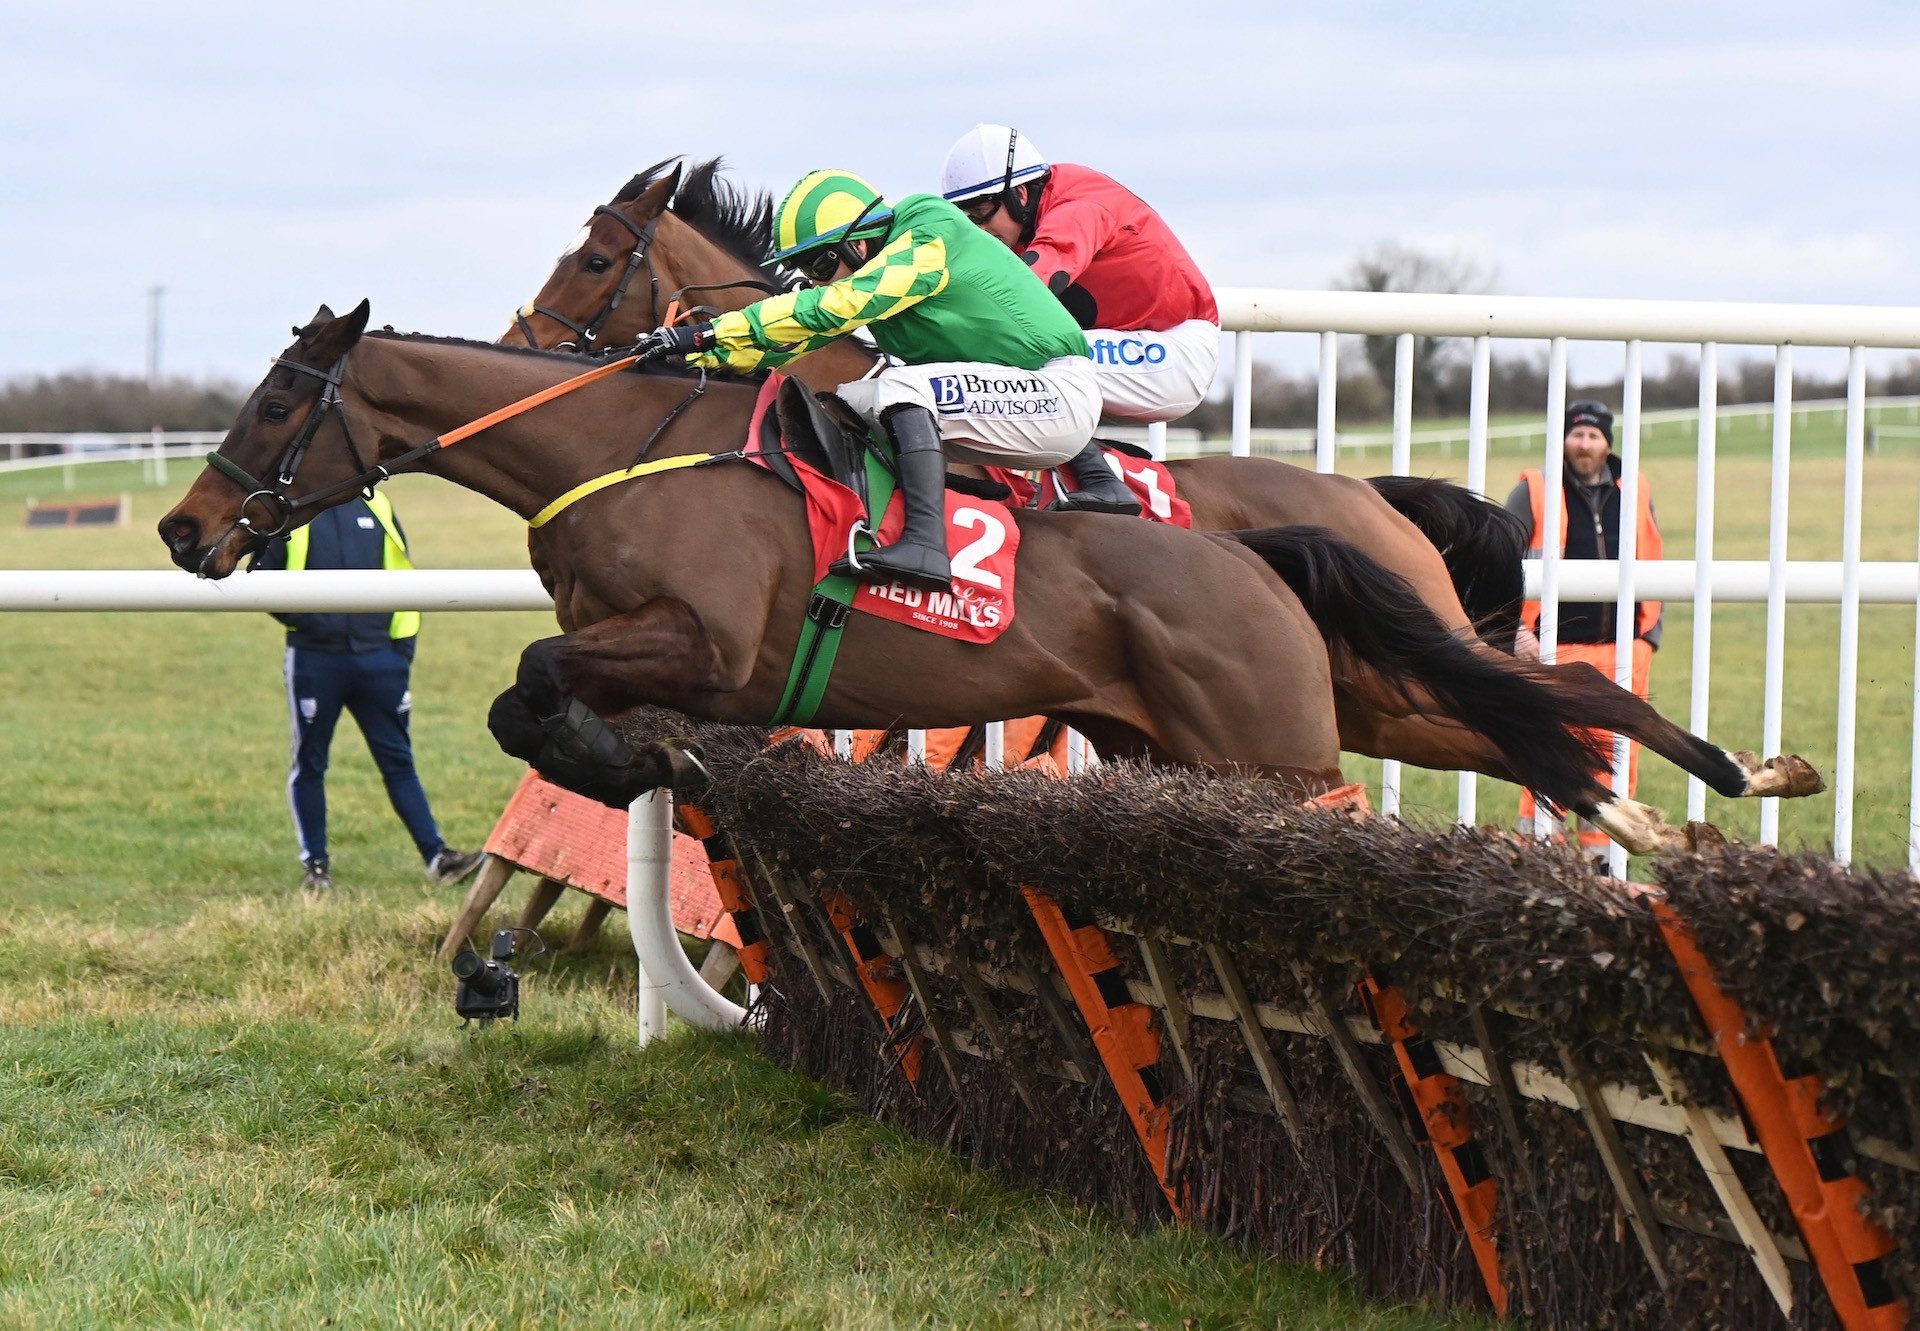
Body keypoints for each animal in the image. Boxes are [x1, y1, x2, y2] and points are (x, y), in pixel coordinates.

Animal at [157, 303, 1789, 852]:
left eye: (273, 398)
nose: (183, 530)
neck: (631, 444)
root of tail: (1255, 541)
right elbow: (525, 703)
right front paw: (635, 768)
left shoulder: (704, 641)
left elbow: (531, 685)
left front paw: (628, 765)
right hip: (1266, 721)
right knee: (1539, 700)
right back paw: (1669, 803)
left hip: (1289, 740)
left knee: (1538, 694)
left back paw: (1685, 793)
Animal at [495, 159, 1812, 795]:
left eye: (598, 258)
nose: (519, 341)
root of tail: (1370, 497)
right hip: (1374, 691)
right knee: (1524, 710)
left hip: (1382, 668)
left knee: (1560, 690)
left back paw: (1726, 772)